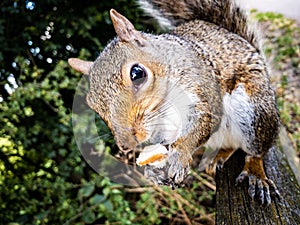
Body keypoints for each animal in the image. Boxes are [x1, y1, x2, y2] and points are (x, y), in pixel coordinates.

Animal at [69, 0, 280, 205]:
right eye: (92, 105)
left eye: (137, 73)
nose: (127, 144)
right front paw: (154, 172)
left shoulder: (204, 93)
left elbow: (200, 127)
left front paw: (179, 157)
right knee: (231, 145)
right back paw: (218, 157)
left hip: (255, 110)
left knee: (256, 150)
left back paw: (255, 172)